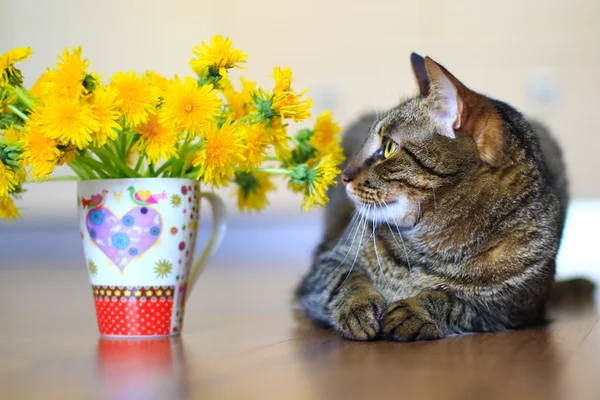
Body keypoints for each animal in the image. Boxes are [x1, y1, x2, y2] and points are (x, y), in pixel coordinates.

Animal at [296, 53, 576, 340]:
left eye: (389, 148)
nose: (344, 176)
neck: (433, 252)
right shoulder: (325, 265)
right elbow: (345, 281)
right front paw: (357, 307)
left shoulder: (508, 313)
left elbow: (452, 301)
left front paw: (415, 309)